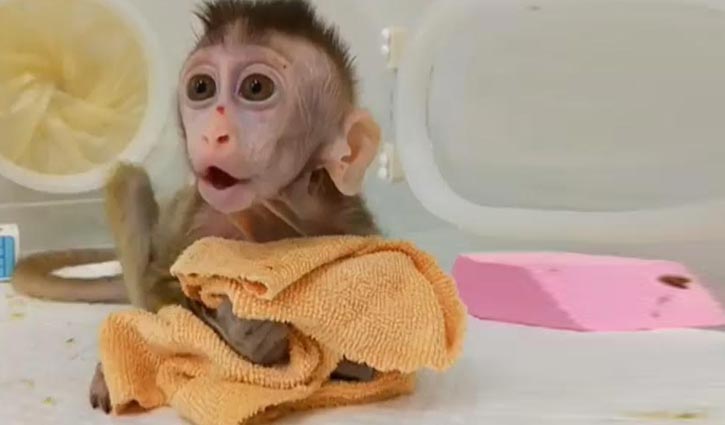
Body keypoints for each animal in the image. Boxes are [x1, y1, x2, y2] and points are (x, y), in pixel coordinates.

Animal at [8, 0, 385, 414]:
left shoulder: (350, 221)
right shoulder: (200, 218)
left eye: (256, 88)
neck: (268, 211)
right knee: (130, 183)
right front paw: (255, 338)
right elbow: (161, 290)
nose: (212, 134)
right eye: (201, 87)